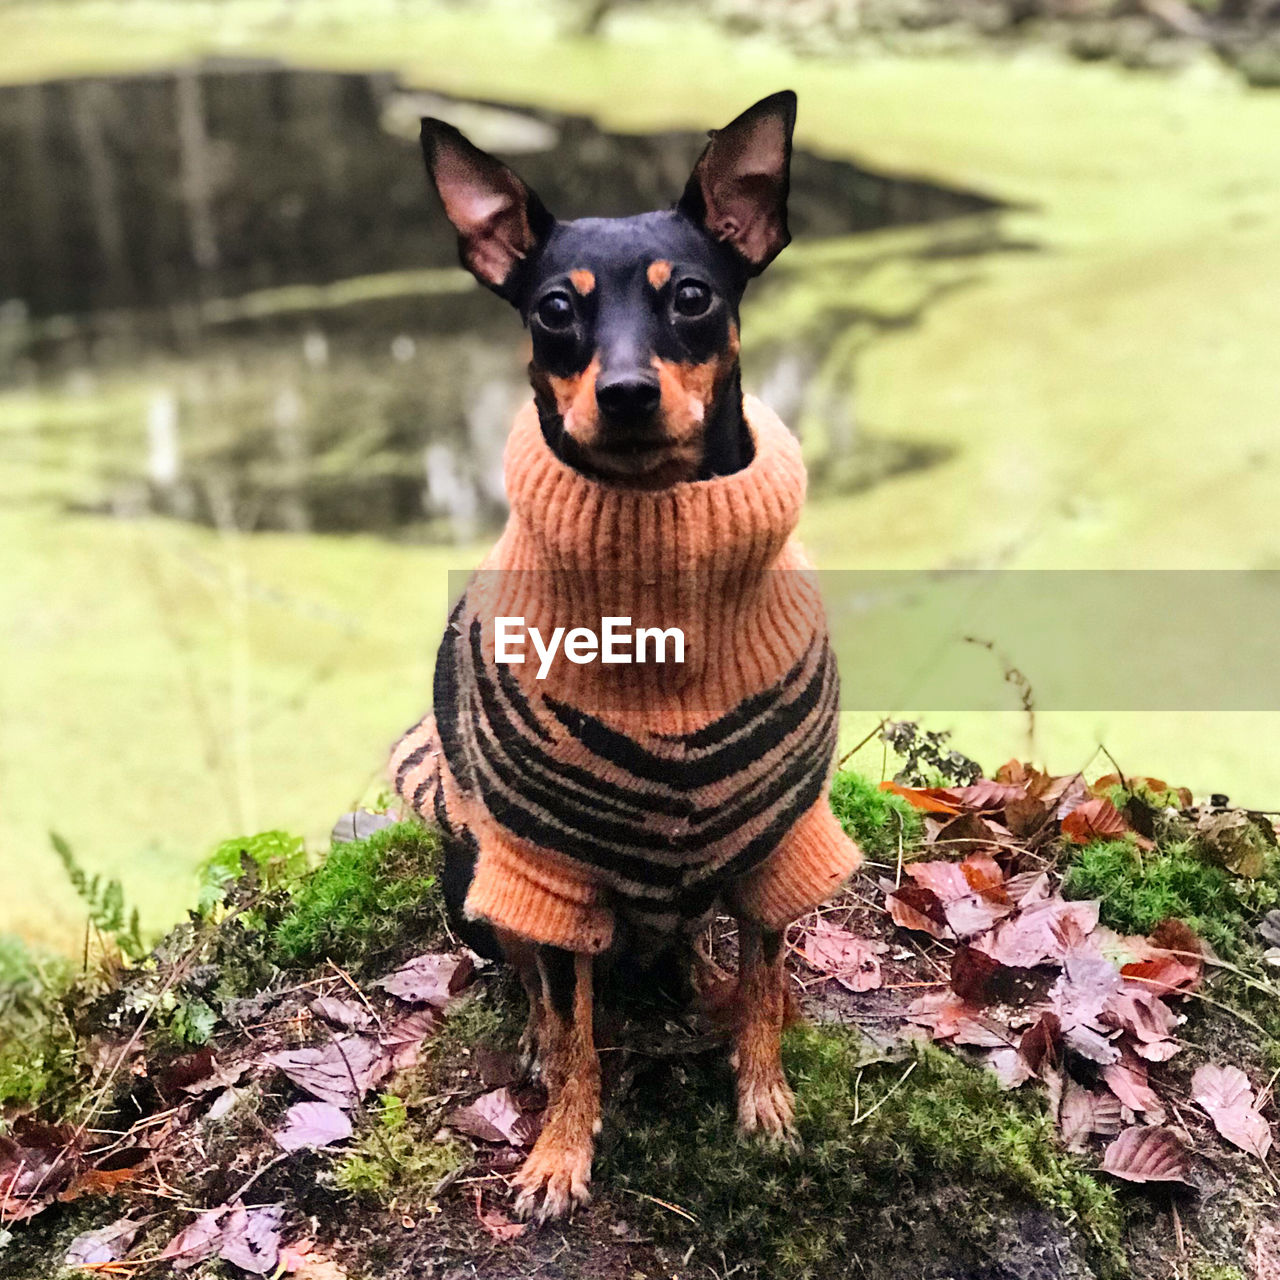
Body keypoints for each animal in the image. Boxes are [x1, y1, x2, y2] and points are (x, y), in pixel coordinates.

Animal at [389, 92, 860, 1218]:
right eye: (554, 311)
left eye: (690, 295)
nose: (629, 391)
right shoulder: (552, 873)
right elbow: (577, 1035)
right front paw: (560, 1151)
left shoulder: (777, 845)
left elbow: (768, 986)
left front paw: (764, 1096)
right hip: (478, 881)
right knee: (538, 980)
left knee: (696, 955)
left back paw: (703, 989)